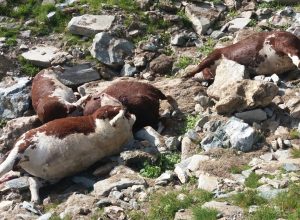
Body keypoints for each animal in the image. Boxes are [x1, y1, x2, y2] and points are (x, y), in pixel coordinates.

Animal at [0, 105, 135, 202]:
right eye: (127, 114)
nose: (130, 113)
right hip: (27, 142)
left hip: (50, 177)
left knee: (34, 181)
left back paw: (35, 199)